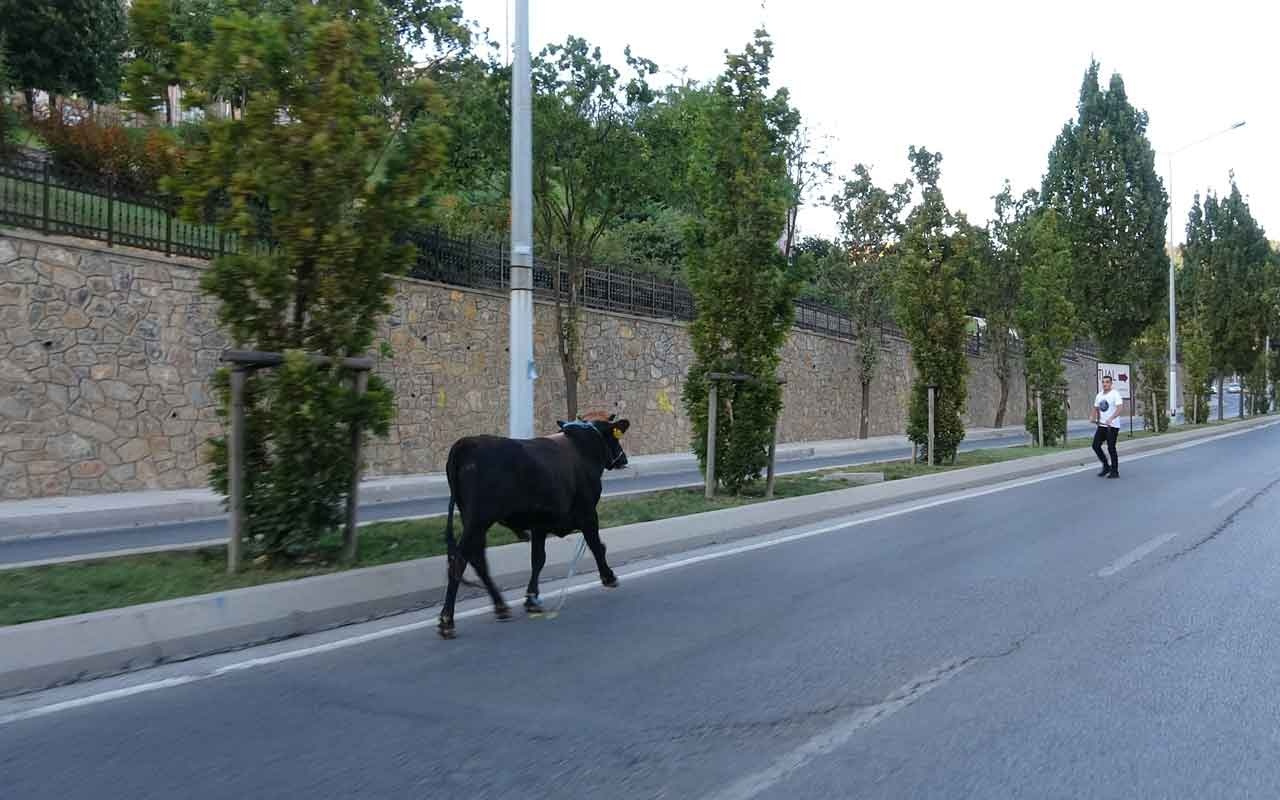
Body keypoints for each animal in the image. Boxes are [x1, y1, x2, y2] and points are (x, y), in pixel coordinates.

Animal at [437, 417, 632, 637]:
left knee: (477, 559)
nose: (623, 459)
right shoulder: (588, 513)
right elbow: (596, 545)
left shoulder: (540, 524)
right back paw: (447, 620)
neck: (585, 449)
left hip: (473, 521)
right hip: (478, 520)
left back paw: (500, 606)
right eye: (615, 438)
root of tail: (467, 442)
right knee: (459, 561)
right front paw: (608, 576)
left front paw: (531, 598)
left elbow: (538, 559)